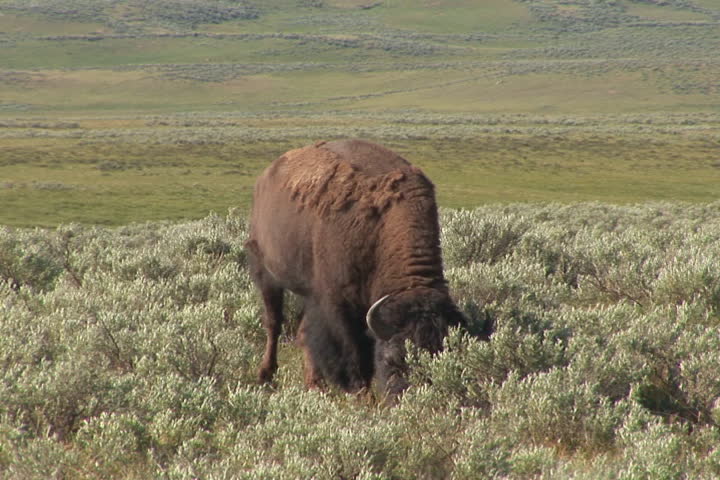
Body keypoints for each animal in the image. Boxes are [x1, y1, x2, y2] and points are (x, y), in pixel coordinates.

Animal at [245, 139, 465, 397]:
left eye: (440, 355)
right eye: (393, 360)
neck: (380, 229)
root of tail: (266, 176)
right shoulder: (337, 305)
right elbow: (352, 352)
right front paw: (362, 395)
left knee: (301, 332)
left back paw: (313, 384)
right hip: (266, 273)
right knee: (274, 323)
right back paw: (266, 375)